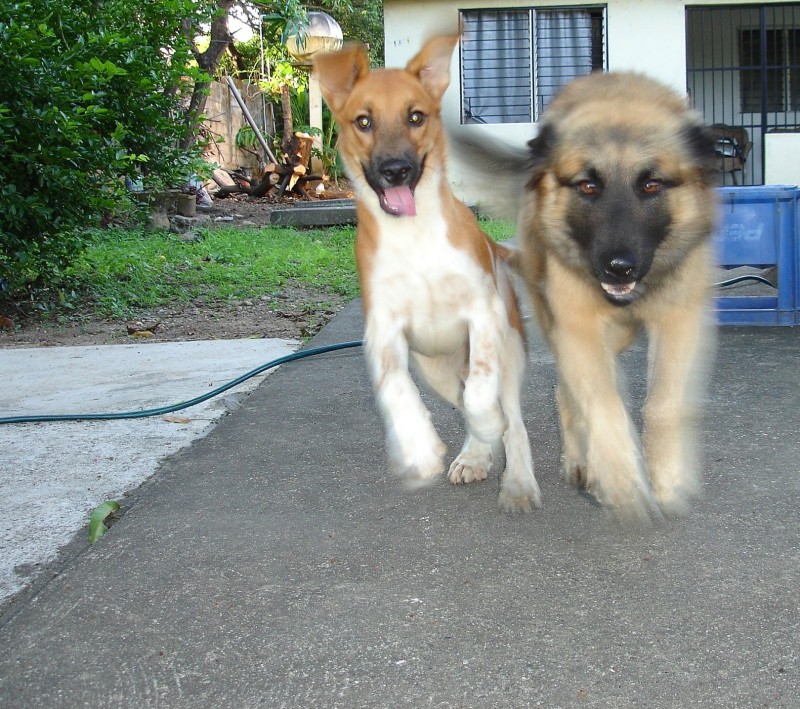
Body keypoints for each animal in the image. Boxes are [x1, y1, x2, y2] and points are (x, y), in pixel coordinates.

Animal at [316, 36, 540, 512]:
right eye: (363, 121)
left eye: (416, 116)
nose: (395, 170)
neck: (413, 237)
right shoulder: (382, 329)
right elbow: (395, 390)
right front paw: (419, 448)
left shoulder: (484, 312)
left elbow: (482, 391)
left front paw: (488, 426)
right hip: (434, 369)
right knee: (461, 398)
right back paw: (474, 455)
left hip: (511, 346)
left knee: (510, 417)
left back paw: (516, 480)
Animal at [456, 72, 720, 520]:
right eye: (588, 186)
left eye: (651, 184)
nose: (619, 267)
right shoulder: (578, 324)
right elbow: (603, 404)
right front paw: (621, 481)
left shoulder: (679, 320)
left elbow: (663, 403)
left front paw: (667, 477)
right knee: (569, 391)